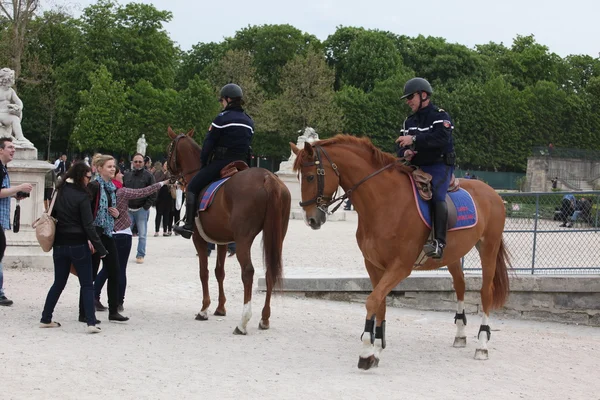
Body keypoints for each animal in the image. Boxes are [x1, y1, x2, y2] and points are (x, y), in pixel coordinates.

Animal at [168, 128, 292, 334]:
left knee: (248, 272)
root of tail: (268, 178)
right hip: (276, 237)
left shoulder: (199, 240)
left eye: (169, 148)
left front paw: (204, 309)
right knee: (269, 271)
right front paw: (220, 308)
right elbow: (219, 272)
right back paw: (264, 318)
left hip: (243, 239)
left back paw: (243, 322)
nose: (165, 169)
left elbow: (204, 272)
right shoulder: (222, 241)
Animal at [290, 135, 510, 372]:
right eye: (299, 177)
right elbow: (380, 303)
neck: (384, 202)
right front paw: (376, 349)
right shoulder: (374, 265)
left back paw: (482, 344)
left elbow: (373, 300)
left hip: (488, 248)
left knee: (486, 292)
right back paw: (460, 334)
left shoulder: (400, 267)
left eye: (310, 176)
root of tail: (490, 191)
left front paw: (366, 351)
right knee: (460, 286)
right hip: (452, 255)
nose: (311, 219)